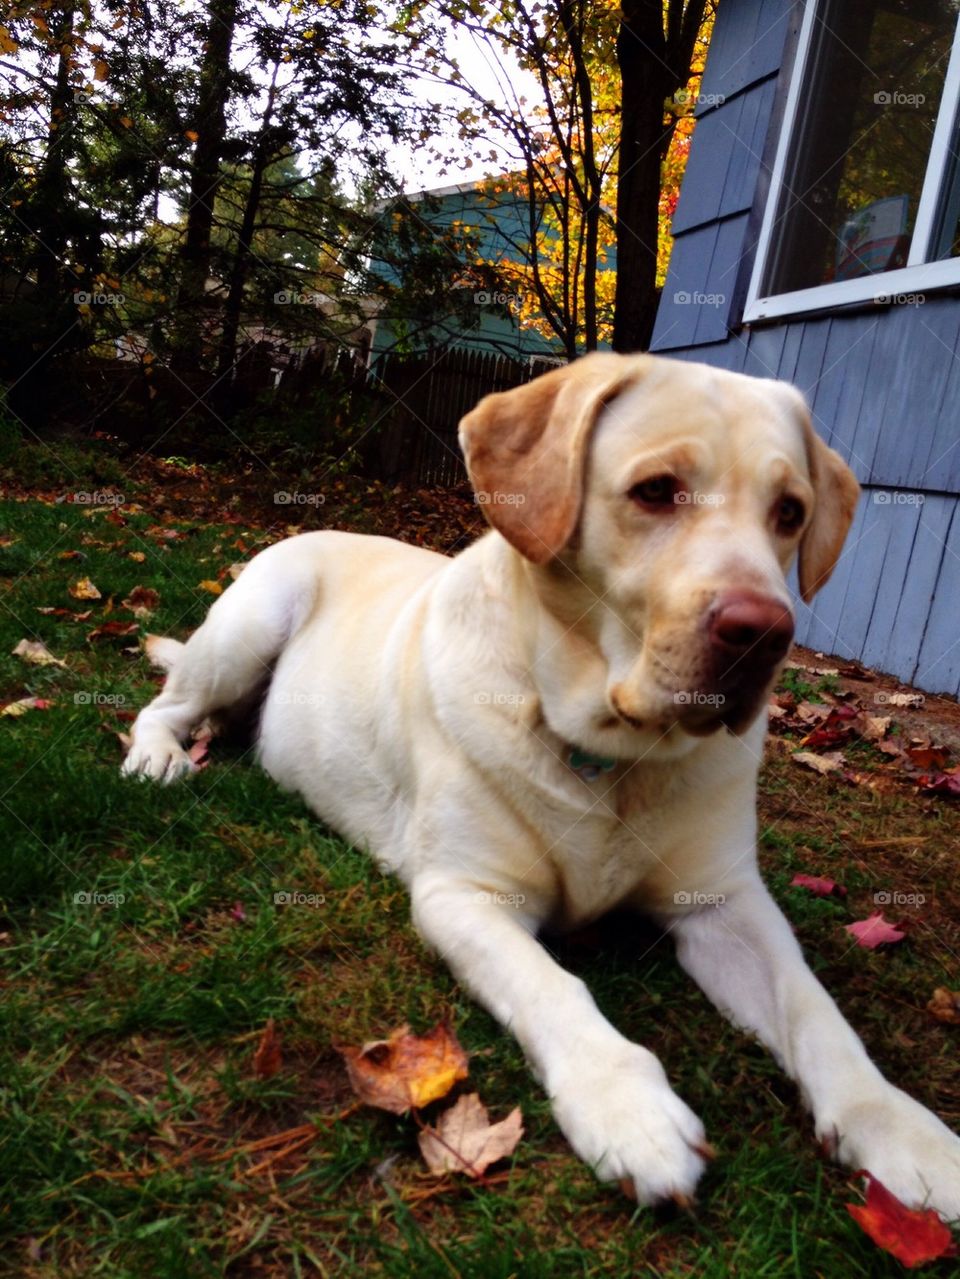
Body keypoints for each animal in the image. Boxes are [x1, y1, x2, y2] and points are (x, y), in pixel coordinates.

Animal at [123, 355, 960, 1212]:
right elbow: (553, 987)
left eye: (789, 512)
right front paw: (629, 1108)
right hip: (250, 622)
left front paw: (903, 1130)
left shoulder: (725, 903)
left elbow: (816, 1010)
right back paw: (159, 757)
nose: (763, 633)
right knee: (164, 704)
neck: (612, 754)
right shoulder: (464, 894)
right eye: (656, 490)